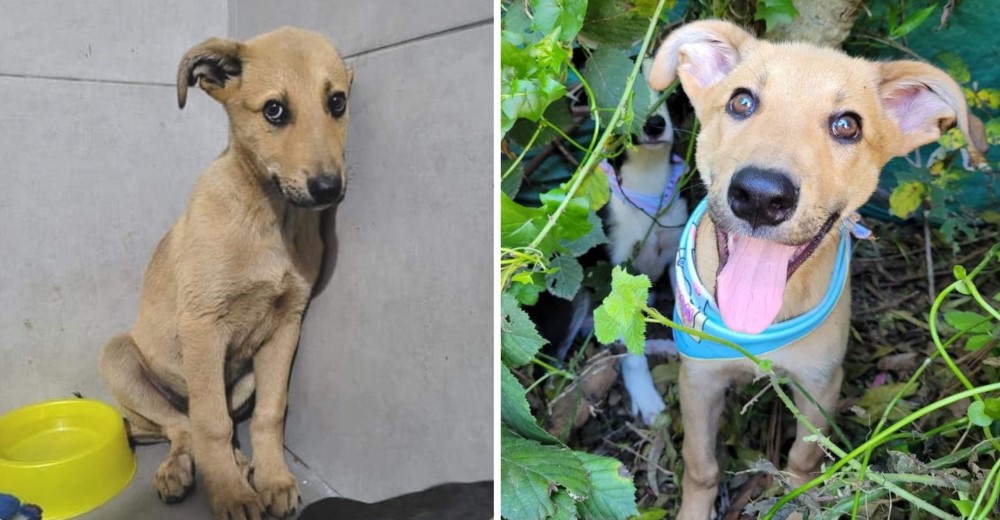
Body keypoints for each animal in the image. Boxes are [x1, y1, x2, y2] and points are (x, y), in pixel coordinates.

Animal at [98, 28, 356, 520]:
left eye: (336, 102)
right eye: (274, 110)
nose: (328, 189)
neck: (269, 216)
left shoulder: (285, 326)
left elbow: (270, 412)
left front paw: (272, 478)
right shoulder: (202, 325)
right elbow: (212, 423)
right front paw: (231, 493)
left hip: (245, 377)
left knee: (190, 420)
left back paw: (234, 461)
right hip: (119, 357)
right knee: (182, 423)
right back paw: (183, 470)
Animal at [648, 21, 968, 520]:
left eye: (847, 125)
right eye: (741, 102)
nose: (760, 195)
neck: (756, 329)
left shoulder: (820, 385)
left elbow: (802, 461)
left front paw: (795, 500)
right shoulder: (698, 379)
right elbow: (700, 466)